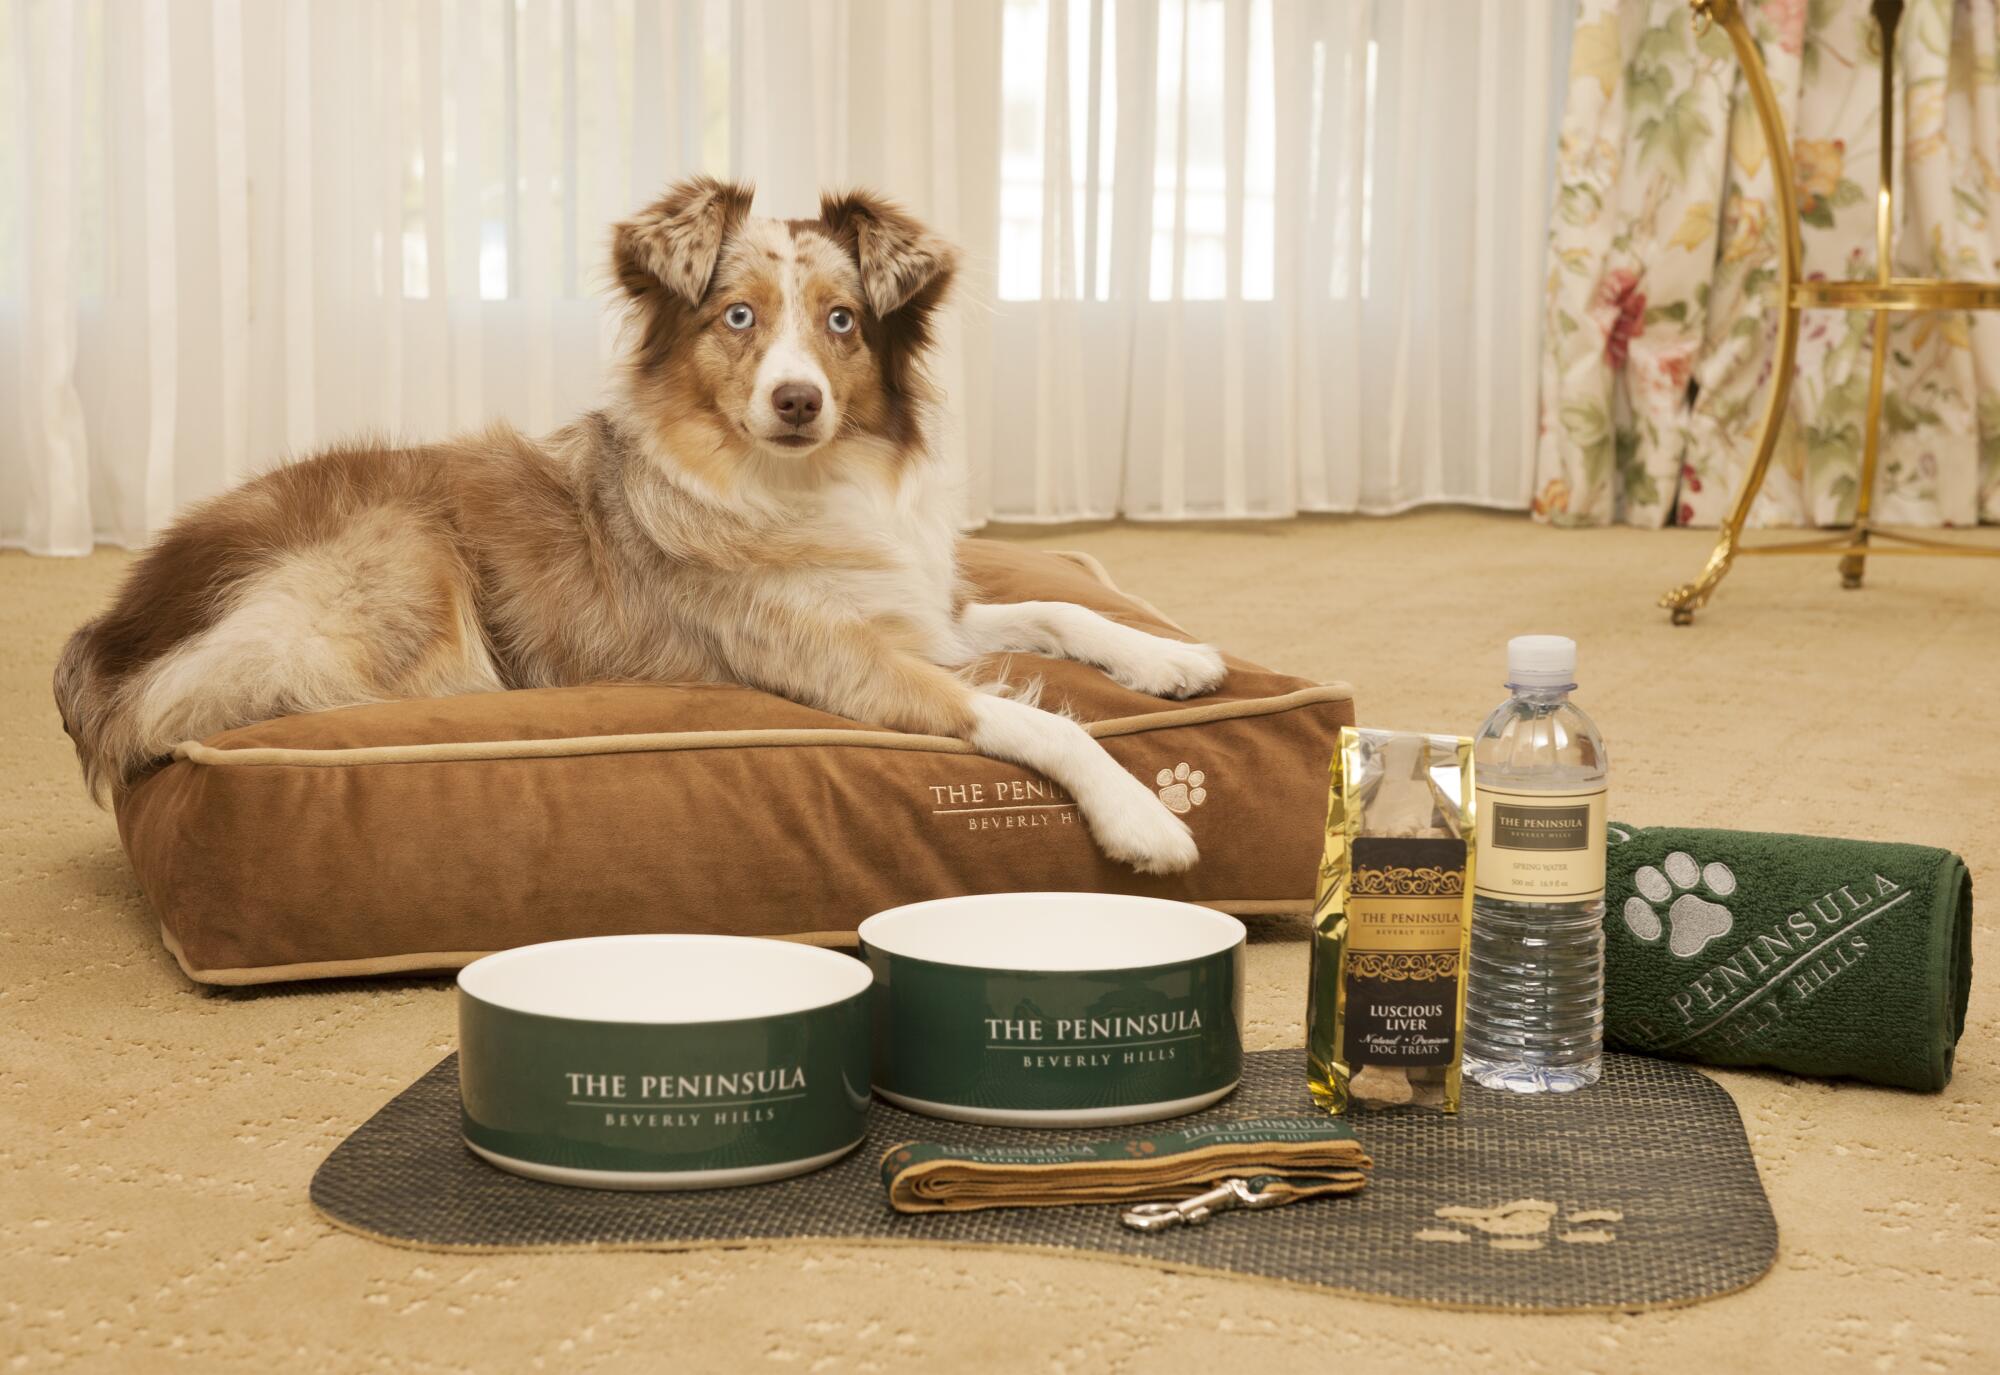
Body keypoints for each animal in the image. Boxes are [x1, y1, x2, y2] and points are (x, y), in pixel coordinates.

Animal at [54, 179, 1216, 871]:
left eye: (841, 322)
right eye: (737, 317)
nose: (798, 400)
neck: (794, 479)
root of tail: (112, 631)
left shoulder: (913, 610)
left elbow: (1056, 606)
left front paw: (1169, 656)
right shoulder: (834, 660)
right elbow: (1036, 718)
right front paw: (1143, 815)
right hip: (399, 565)